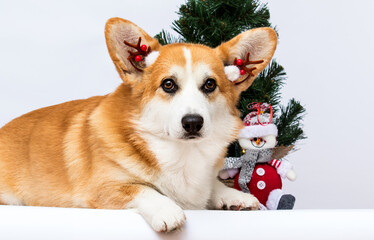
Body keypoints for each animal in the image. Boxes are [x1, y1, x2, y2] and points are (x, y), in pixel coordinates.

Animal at [0, 17, 274, 232]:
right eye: (168, 84)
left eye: (210, 84)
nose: (193, 123)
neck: (180, 154)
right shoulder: (102, 189)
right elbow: (143, 189)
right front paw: (168, 210)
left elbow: (212, 186)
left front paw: (234, 196)